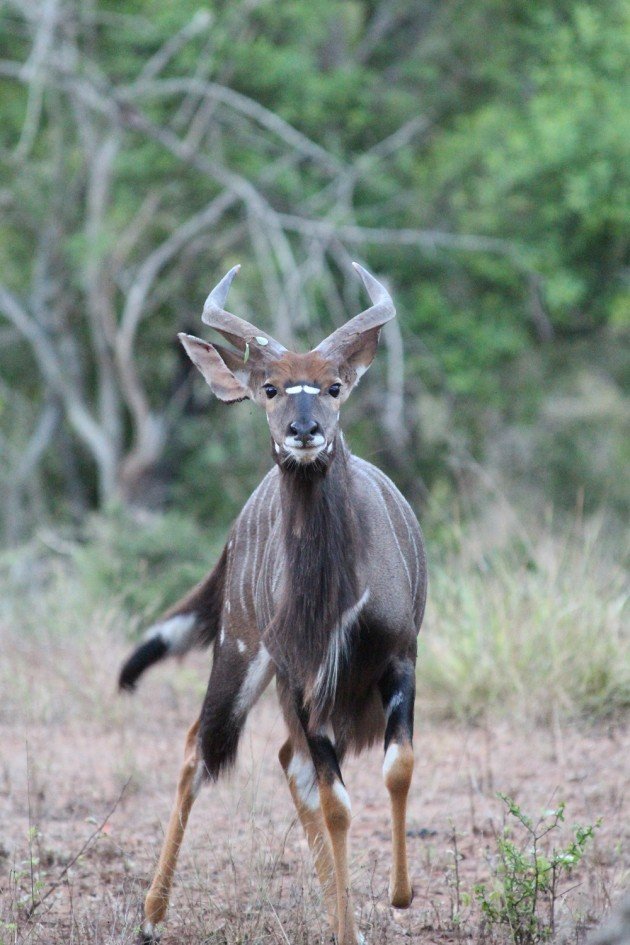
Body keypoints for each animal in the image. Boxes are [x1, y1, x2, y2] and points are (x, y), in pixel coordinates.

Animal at [119, 264, 430, 944]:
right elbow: (337, 799)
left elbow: (398, 766)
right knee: (201, 749)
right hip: (240, 651)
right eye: (269, 388)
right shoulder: (300, 673)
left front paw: (396, 898)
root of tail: (235, 532)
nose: (304, 432)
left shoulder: (399, 656)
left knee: (290, 762)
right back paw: (151, 915)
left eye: (335, 386)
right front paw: (358, 920)